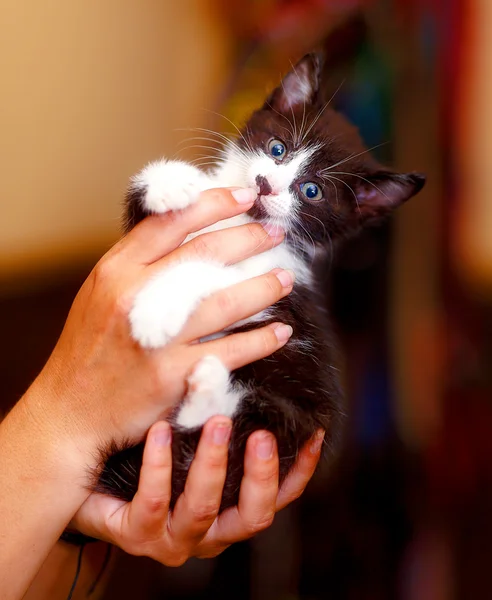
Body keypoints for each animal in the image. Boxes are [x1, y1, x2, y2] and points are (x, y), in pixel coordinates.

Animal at [95, 54, 422, 508]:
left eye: (311, 191)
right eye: (277, 149)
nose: (266, 185)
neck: (244, 219)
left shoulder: (273, 277)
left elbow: (212, 269)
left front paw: (155, 313)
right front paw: (173, 183)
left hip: (294, 414)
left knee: (227, 433)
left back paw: (209, 385)